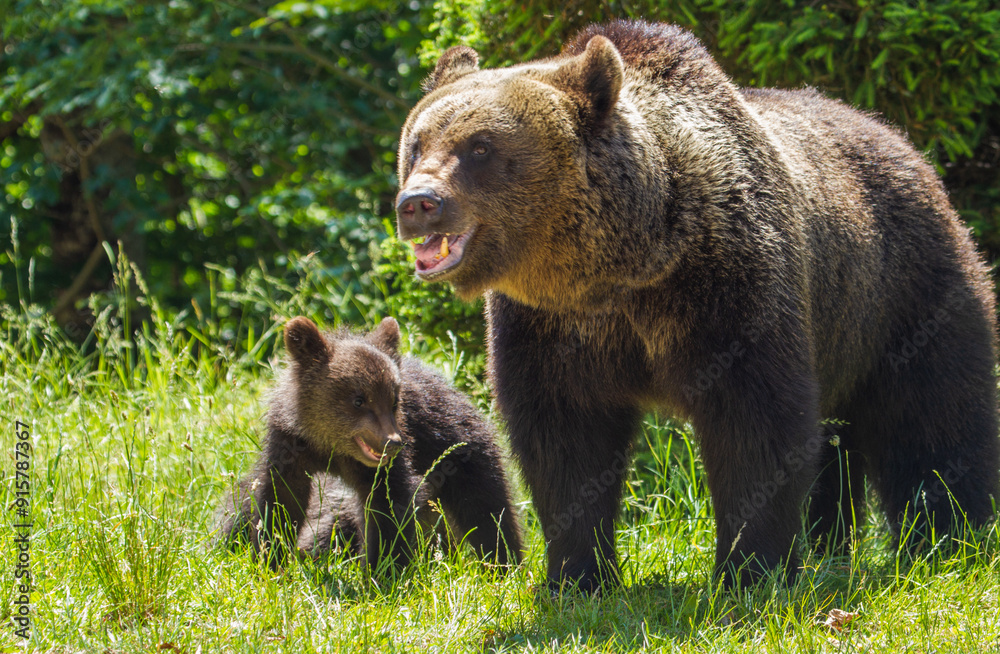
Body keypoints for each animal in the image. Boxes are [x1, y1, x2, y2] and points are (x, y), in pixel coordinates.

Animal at [215, 316, 524, 573]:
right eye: (359, 400)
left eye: (394, 400)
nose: (392, 442)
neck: (330, 446)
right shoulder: (290, 444)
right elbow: (280, 501)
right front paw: (271, 559)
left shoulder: (386, 466)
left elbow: (388, 508)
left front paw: (382, 573)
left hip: (460, 450)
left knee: (487, 511)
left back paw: (504, 564)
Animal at [393, 19, 1000, 591]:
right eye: (417, 144)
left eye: (480, 147)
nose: (418, 203)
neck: (626, 265)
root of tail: (905, 145)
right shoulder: (550, 325)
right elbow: (563, 439)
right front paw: (579, 575)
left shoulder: (729, 287)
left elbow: (756, 425)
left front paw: (750, 570)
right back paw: (833, 548)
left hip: (907, 292)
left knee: (934, 417)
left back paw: (947, 541)